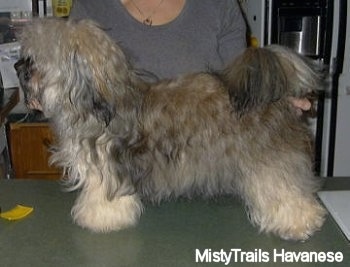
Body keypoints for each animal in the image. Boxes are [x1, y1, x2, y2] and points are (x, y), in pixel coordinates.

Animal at [13, 18, 326, 241]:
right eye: (25, 56)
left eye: (35, 61)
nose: (17, 66)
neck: (99, 104)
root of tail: (276, 96)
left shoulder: (108, 170)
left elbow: (102, 198)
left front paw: (99, 218)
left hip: (269, 163)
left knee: (284, 190)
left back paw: (300, 223)